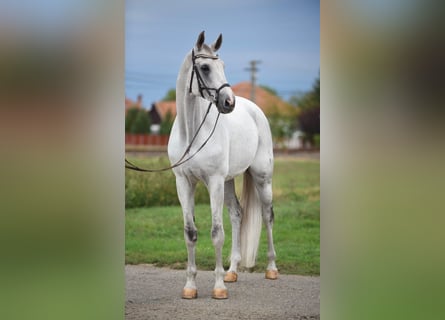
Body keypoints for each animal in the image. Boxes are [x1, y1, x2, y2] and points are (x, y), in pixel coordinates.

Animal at [167, 31, 278, 298]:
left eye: (223, 66)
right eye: (205, 67)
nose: (229, 102)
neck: (192, 134)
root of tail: (254, 109)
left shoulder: (214, 181)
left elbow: (217, 233)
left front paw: (218, 288)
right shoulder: (184, 183)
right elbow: (190, 233)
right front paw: (190, 286)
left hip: (261, 177)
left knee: (267, 215)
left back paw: (271, 269)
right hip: (228, 182)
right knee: (237, 214)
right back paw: (232, 271)